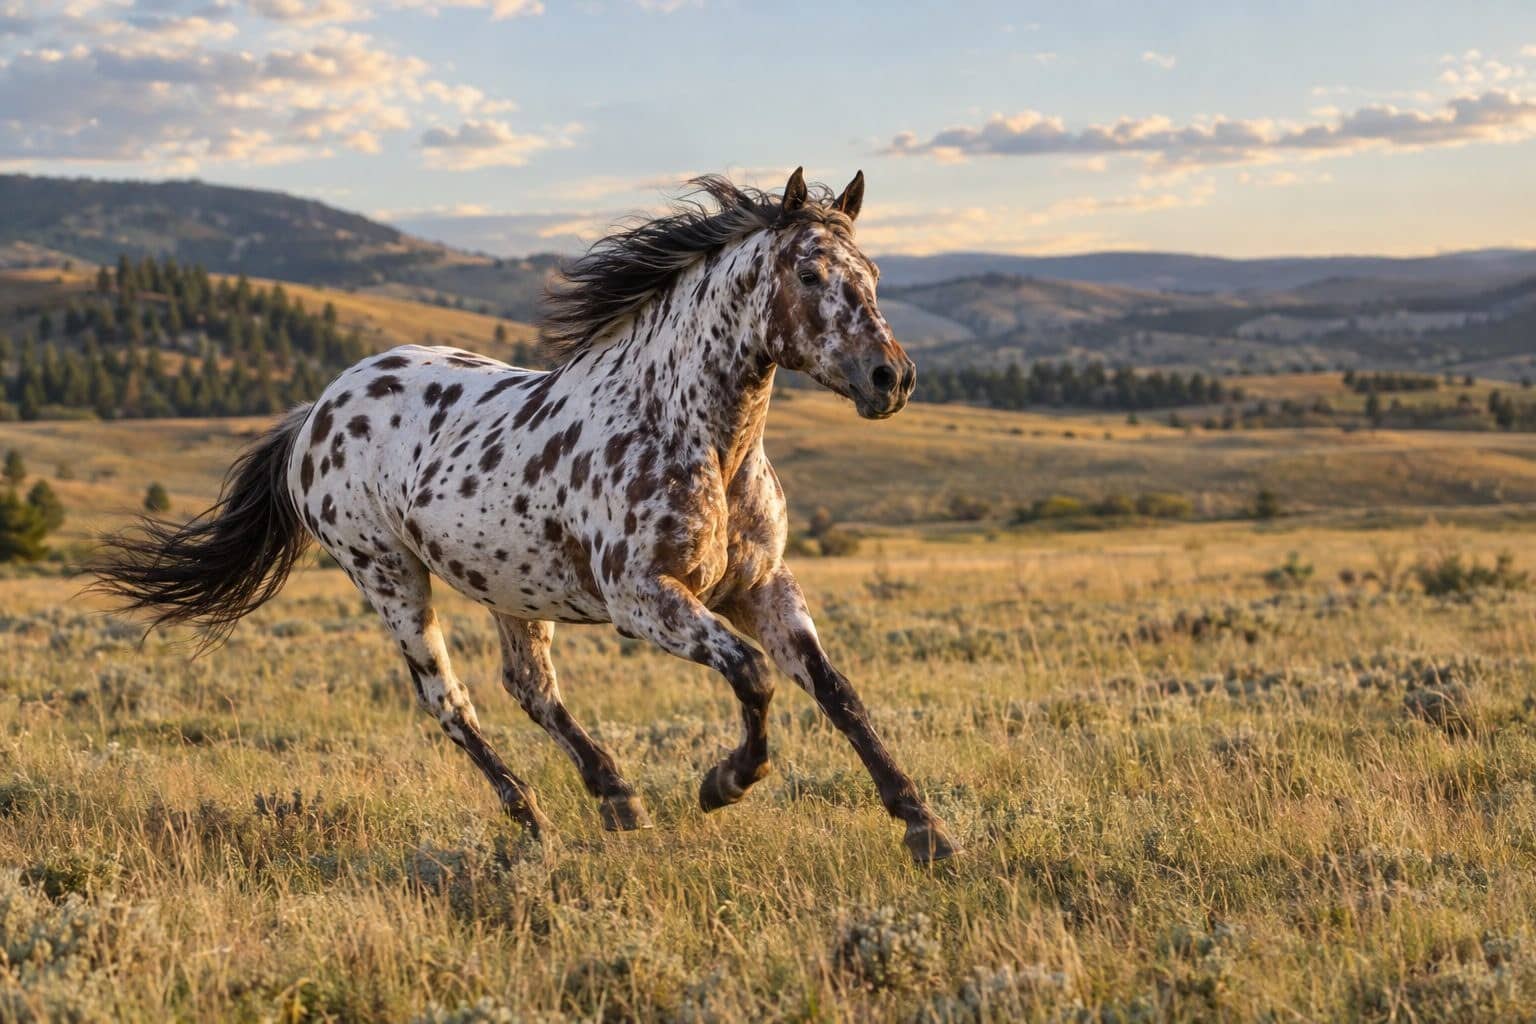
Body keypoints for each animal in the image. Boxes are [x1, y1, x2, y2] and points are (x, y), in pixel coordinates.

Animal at [91, 168, 957, 864]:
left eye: (873, 272)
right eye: (809, 273)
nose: (892, 378)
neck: (694, 433)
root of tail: (318, 411)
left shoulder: (762, 585)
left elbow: (836, 692)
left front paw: (923, 826)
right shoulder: (644, 600)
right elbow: (754, 674)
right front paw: (722, 784)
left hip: (510, 587)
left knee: (529, 689)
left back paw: (617, 799)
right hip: (389, 577)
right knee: (450, 701)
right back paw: (535, 820)